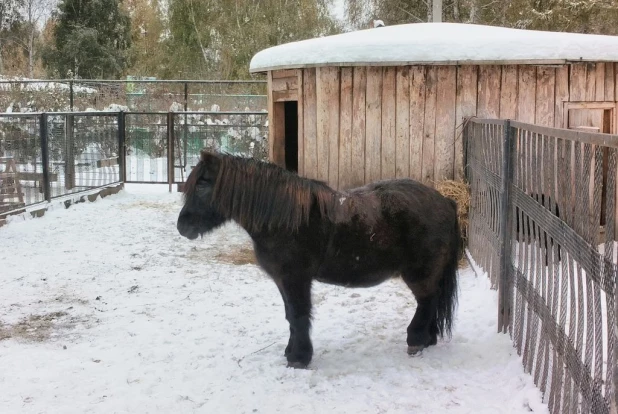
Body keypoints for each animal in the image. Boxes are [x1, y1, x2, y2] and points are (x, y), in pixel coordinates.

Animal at [176, 150, 460, 368]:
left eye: (202, 185)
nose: (182, 227)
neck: (283, 219)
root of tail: (445, 201)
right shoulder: (283, 281)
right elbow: (290, 315)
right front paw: (291, 352)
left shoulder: (295, 279)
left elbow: (299, 314)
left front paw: (299, 358)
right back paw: (428, 339)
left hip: (419, 273)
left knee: (426, 302)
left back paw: (416, 341)